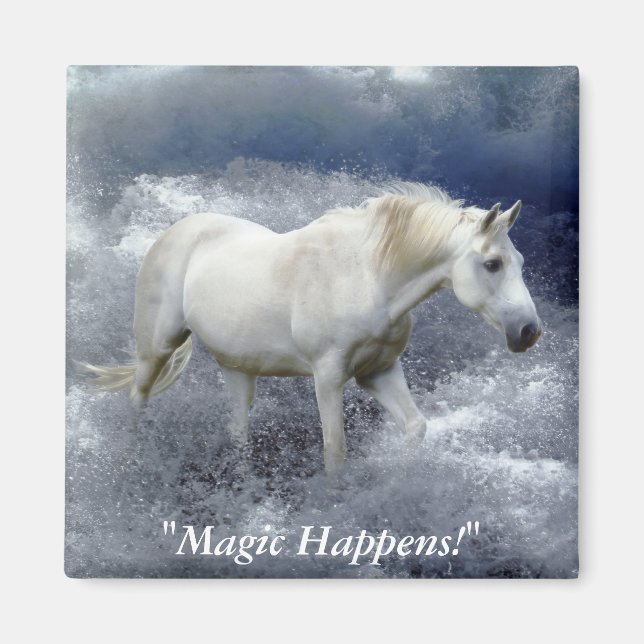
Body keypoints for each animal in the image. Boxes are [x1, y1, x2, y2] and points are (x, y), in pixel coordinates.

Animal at [82, 183, 541, 474]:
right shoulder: (328, 378)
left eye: (519, 262)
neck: (367, 278)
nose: (529, 331)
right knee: (139, 394)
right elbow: (335, 449)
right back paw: (132, 450)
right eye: (492, 264)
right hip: (157, 346)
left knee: (237, 429)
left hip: (238, 368)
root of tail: (173, 232)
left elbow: (415, 428)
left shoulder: (379, 372)